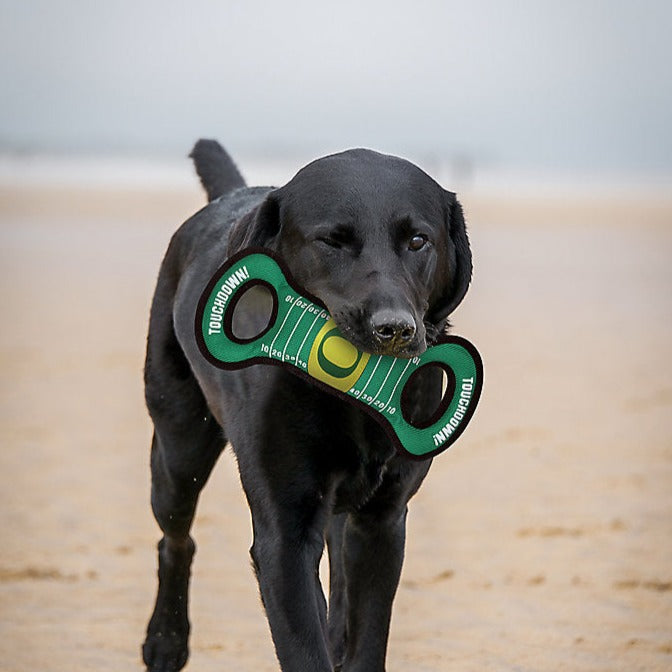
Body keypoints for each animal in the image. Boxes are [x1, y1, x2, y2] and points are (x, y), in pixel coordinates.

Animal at [142, 139, 472, 668]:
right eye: (331, 241)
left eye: (418, 241)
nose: (395, 329)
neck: (353, 402)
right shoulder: (284, 536)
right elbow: (302, 646)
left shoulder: (383, 523)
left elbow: (367, 636)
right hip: (178, 451)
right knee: (176, 537)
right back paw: (166, 640)